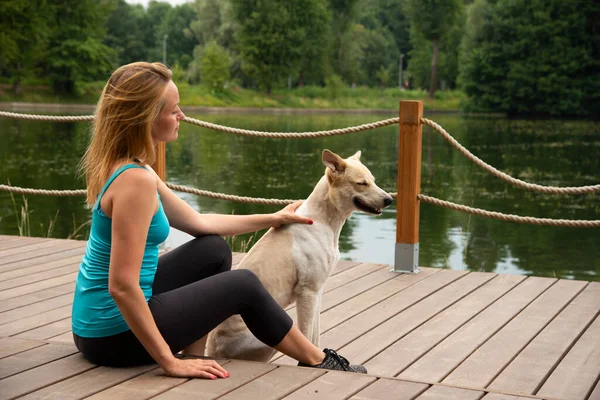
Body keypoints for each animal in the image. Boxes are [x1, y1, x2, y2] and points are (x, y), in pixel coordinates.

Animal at [206, 148, 394, 360]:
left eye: (373, 180)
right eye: (361, 183)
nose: (389, 200)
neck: (323, 220)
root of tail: (212, 351)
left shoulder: (318, 290)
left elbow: (315, 336)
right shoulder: (307, 292)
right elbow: (307, 336)